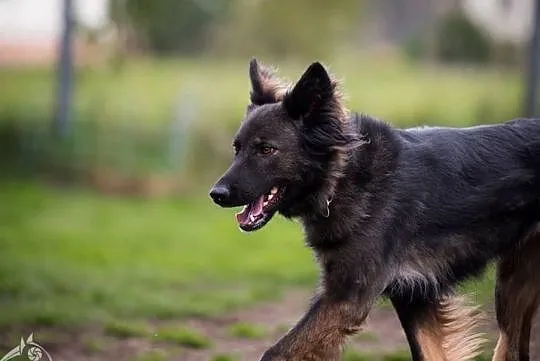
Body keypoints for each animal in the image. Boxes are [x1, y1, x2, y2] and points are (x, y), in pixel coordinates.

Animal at [208, 59, 540, 360]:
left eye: (266, 150)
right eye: (237, 148)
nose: (216, 194)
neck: (342, 178)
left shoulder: (347, 297)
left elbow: (277, 353)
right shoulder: (413, 296)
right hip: (513, 287)